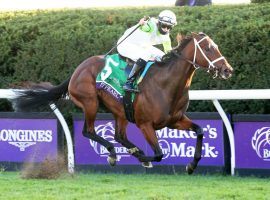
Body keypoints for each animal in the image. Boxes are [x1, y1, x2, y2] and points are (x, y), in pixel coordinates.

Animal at [13, 32, 232, 174]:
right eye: (208, 48)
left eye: (216, 46)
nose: (227, 70)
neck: (166, 84)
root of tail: (77, 70)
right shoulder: (145, 124)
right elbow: (159, 153)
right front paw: (144, 158)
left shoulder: (174, 120)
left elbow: (200, 131)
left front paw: (191, 165)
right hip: (90, 102)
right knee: (88, 131)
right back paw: (114, 154)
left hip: (120, 111)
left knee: (119, 135)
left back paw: (132, 150)